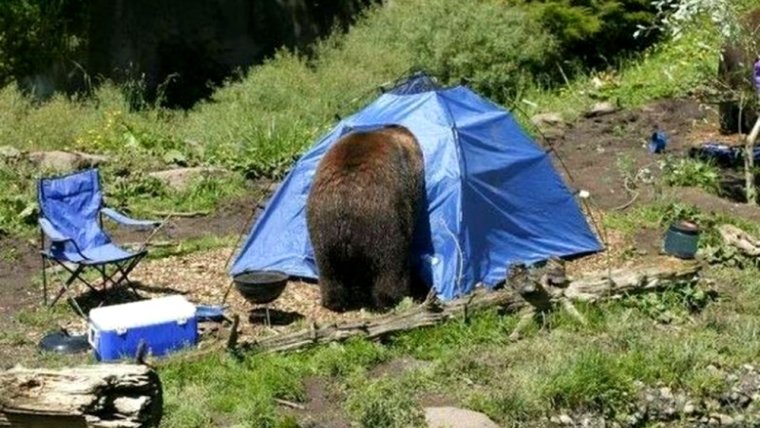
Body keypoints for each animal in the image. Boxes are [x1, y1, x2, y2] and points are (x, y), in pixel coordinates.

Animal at [306, 124, 425, 312]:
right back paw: (391, 299)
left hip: (322, 229)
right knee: (390, 265)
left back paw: (334, 300)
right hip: (383, 223)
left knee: (329, 270)